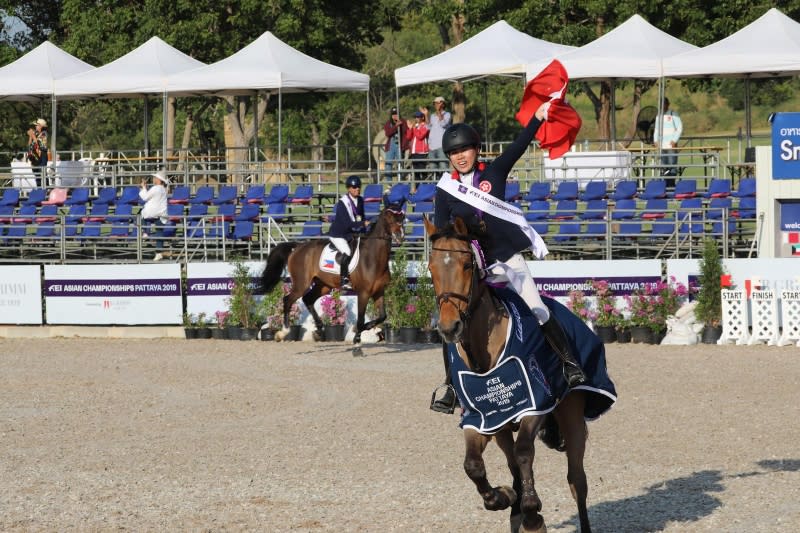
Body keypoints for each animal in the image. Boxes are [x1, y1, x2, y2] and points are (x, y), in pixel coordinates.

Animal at [260, 206, 404, 352]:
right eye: (389, 218)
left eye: (402, 218)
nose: (400, 236)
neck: (373, 258)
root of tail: (298, 247)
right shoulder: (363, 293)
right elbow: (360, 320)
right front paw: (357, 340)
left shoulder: (379, 292)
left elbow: (382, 316)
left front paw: (363, 332)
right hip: (302, 283)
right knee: (288, 300)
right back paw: (283, 332)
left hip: (323, 285)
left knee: (308, 299)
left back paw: (319, 329)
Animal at [424, 216, 620, 532]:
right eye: (431, 268)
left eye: (466, 265)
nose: (449, 327)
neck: (483, 355)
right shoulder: (481, 417)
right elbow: (473, 465)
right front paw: (503, 497)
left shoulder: (536, 403)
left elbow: (525, 451)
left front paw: (531, 513)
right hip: (504, 427)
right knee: (512, 462)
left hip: (571, 414)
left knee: (577, 480)